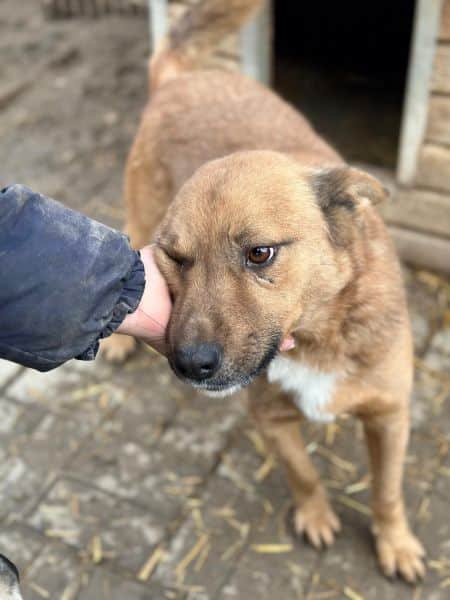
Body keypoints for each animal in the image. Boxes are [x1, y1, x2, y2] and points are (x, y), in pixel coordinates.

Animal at [102, 0, 425, 582]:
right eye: (177, 259)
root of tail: (182, 79)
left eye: (260, 253)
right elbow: (305, 475)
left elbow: (387, 493)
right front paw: (316, 516)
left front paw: (396, 544)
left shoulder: (391, 417)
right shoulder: (270, 419)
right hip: (138, 215)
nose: (190, 364)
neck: (321, 335)